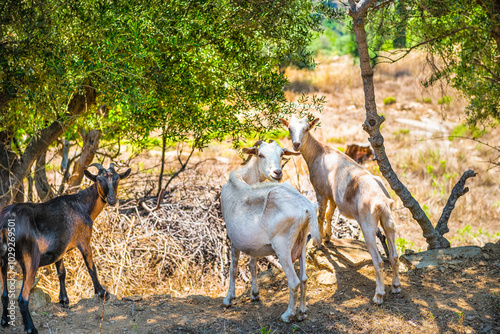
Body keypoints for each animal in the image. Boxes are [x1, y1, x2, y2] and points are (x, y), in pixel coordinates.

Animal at [0, 163, 131, 332]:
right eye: (99, 180)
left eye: (117, 179)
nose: (112, 199)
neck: (82, 206)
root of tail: (5, 224)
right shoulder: (84, 240)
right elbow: (91, 268)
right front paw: (102, 293)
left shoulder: (59, 250)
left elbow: (62, 273)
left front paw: (64, 300)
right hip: (30, 259)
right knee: (23, 298)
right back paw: (31, 328)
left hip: (3, 258)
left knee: (4, 294)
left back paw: (5, 321)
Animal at [222, 142, 322, 324]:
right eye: (260, 154)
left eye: (281, 154)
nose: (277, 172)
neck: (240, 181)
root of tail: (307, 207)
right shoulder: (253, 244)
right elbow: (252, 265)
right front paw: (255, 294)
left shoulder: (233, 240)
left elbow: (233, 268)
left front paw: (228, 299)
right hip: (302, 242)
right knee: (304, 278)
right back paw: (302, 313)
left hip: (282, 247)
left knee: (294, 282)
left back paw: (288, 315)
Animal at [280, 117, 400, 306]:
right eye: (289, 128)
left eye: (306, 129)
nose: (296, 144)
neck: (320, 153)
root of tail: (381, 201)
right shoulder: (333, 195)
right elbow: (330, 214)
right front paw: (328, 237)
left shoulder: (321, 192)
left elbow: (321, 215)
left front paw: (318, 242)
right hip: (389, 222)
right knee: (394, 256)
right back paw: (396, 287)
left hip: (368, 226)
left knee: (379, 261)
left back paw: (378, 296)